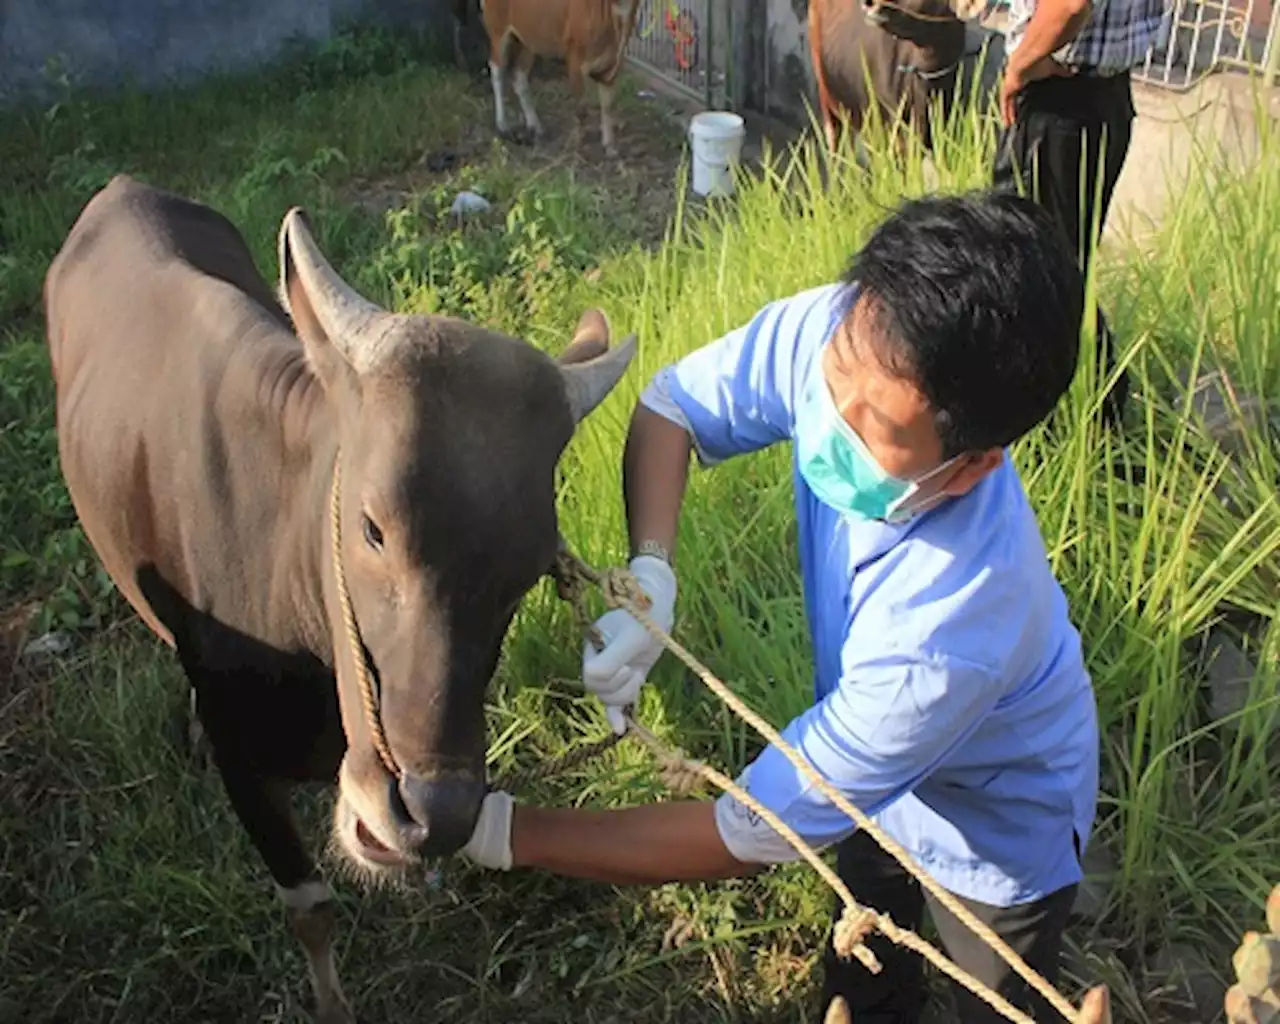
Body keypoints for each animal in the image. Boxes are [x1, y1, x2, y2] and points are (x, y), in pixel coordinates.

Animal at [481, 0, 640, 154]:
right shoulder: (575, 59)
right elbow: (581, 109)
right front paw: (575, 145)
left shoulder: (611, 65)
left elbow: (608, 107)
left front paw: (610, 147)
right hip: (497, 29)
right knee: (496, 69)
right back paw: (503, 127)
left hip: (528, 40)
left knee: (519, 75)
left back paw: (536, 127)